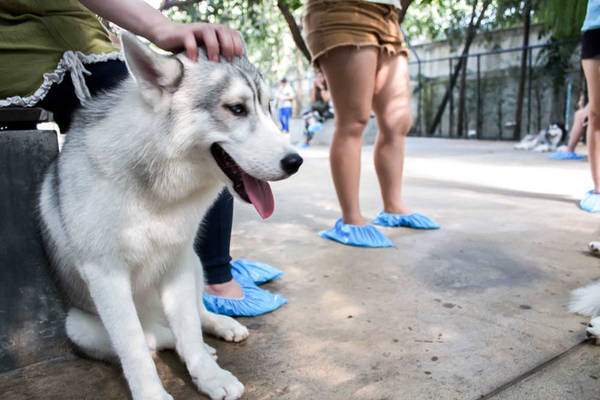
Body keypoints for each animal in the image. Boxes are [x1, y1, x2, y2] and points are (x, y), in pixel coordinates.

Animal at [38, 32, 300, 400]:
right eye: (237, 108)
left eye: (269, 107)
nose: (295, 162)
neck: (155, 195)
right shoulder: (107, 276)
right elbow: (134, 346)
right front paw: (152, 392)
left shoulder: (176, 262)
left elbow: (189, 327)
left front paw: (209, 376)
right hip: (77, 326)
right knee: (152, 337)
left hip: (194, 261)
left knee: (195, 314)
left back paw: (218, 328)